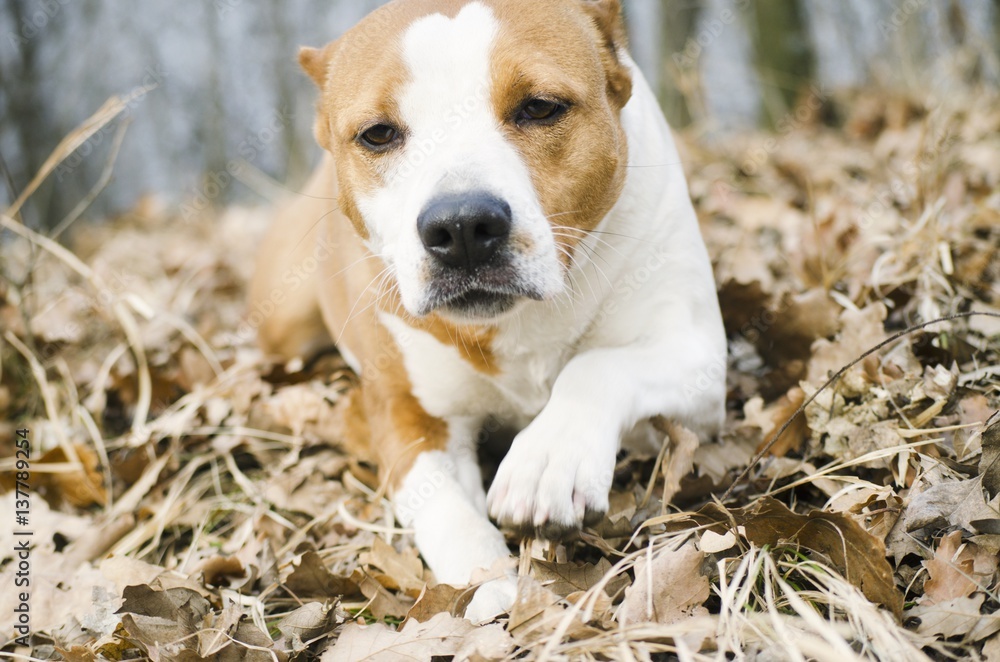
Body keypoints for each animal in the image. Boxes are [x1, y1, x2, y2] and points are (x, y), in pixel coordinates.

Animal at [246, 0, 724, 624]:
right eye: (378, 134)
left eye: (540, 107)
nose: (461, 226)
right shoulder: (410, 416)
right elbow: (444, 509)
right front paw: (487, 584)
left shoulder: (699, 358)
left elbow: (598, 367)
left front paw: (550, 458)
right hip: (284, 322)